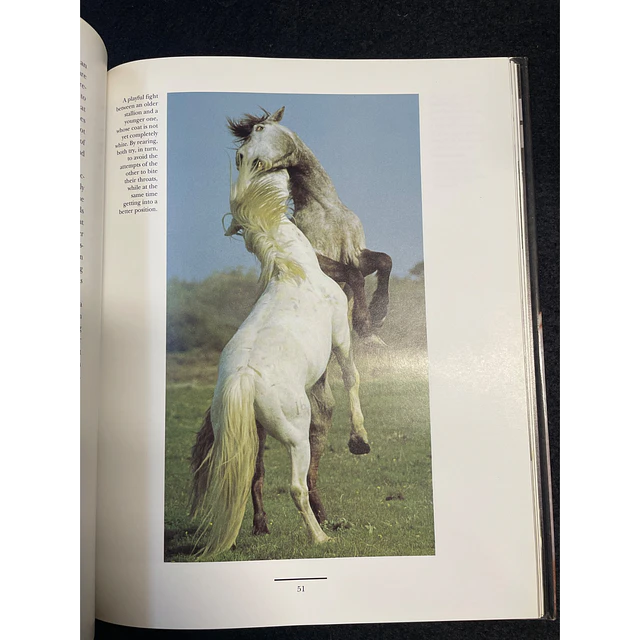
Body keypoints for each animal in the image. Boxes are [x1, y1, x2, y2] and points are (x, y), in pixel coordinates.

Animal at [190, 162, 370, 557]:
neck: (293, 270)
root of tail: (243, 379)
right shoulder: (342, 337)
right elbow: (353, 378)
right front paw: (360, 440)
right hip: (295, 438)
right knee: (296, 487)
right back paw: (320, 536)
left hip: (251, 435)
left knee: (249, 479)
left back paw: (252, 531)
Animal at [227, 107, 393, 345]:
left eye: (260, 128)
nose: (240, 157)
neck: (327, 210)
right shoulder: (319, 259)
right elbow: (353, 275)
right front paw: (366, 328)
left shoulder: (356, 254)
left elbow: (384, 261)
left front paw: (379, 313)